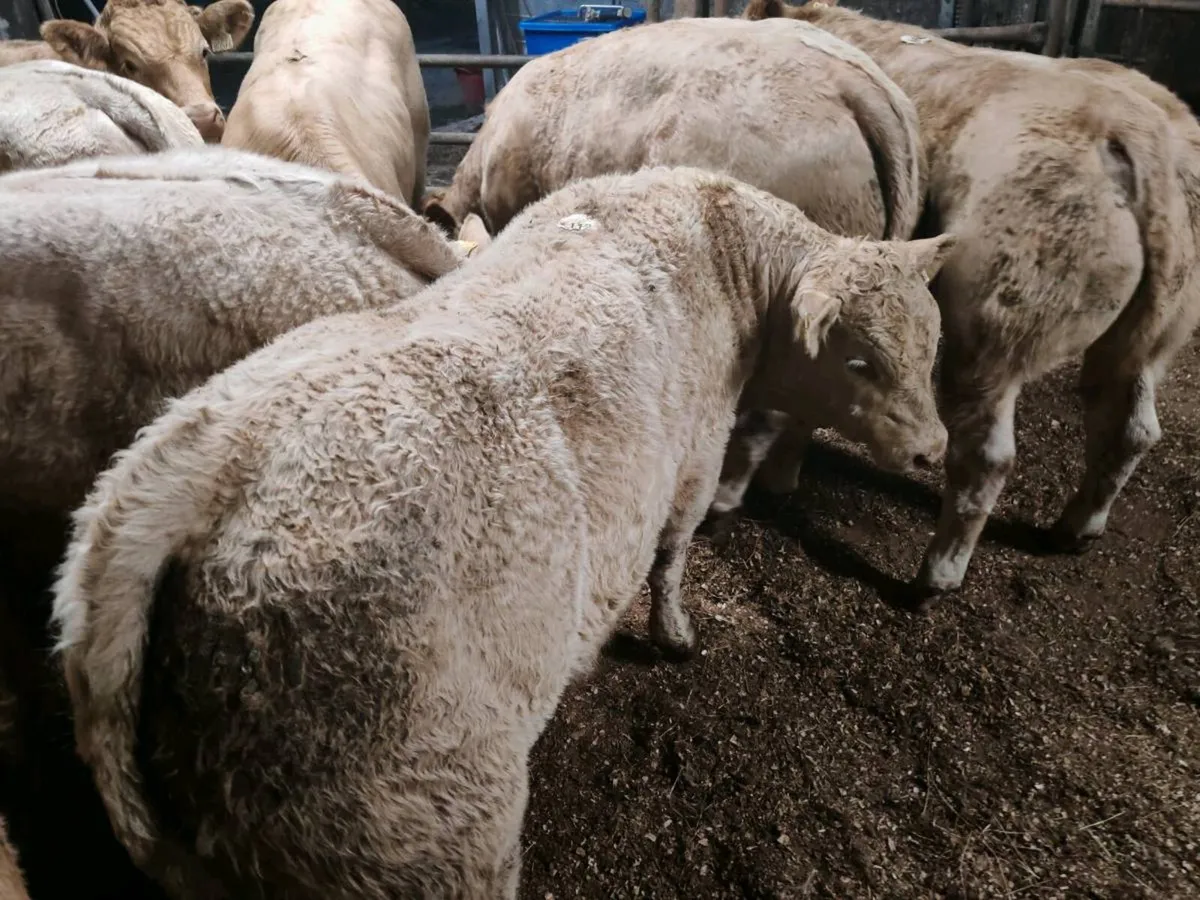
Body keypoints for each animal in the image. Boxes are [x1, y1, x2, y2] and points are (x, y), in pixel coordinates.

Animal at [52, 166, 952, 899]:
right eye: (860, 361)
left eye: (932, 343)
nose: (933, 450)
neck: (721, 251)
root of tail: (176, 482)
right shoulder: (696, 454)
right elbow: (673, 552)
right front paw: (675, 632)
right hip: (420, 816)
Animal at [743, 0, 1198, 601]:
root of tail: (1136, 135)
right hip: (1154, 335)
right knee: (1132, 426)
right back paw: (1075, 530)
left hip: (996, 326)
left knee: (987, 455)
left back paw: (936, 575)